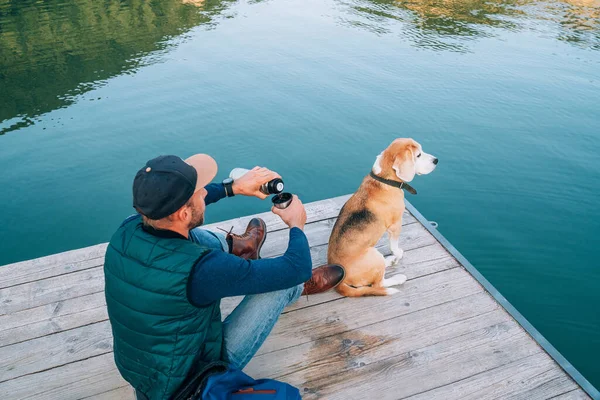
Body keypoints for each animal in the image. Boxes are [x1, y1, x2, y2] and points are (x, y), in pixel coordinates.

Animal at [328, 139, 436, 296]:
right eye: (418, 155)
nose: (436, 160)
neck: (385, 179)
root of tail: (340, 283)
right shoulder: (396, 225)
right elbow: (394, 245)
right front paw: (398, 253)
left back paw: (390, 261)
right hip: (374, 255)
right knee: (379, 284)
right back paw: (398, 277)